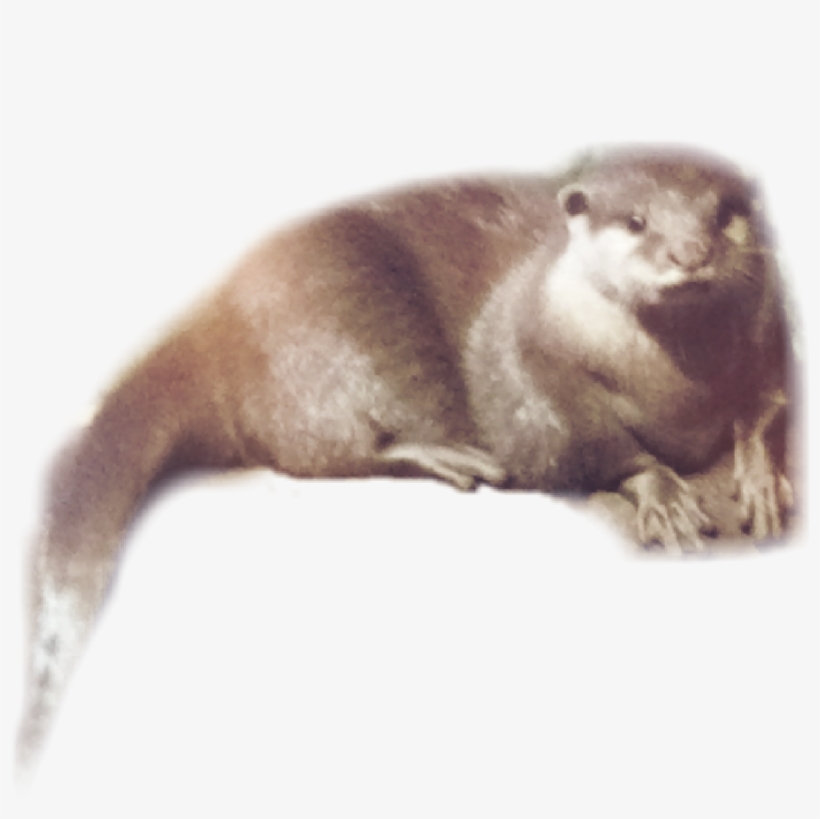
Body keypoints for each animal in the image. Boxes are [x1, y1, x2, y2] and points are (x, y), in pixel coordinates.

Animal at [17, 147, 795, 770]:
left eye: (722, 214)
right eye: (635, 221)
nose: (689, 253)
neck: (676, 387)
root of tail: (214, 322)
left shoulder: (769, 339)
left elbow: (767, 408)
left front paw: (760, 478)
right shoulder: (532, 372)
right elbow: (586, 447)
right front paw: (661, 490)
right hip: (329, 332)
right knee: (316, 446)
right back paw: (447, 455)